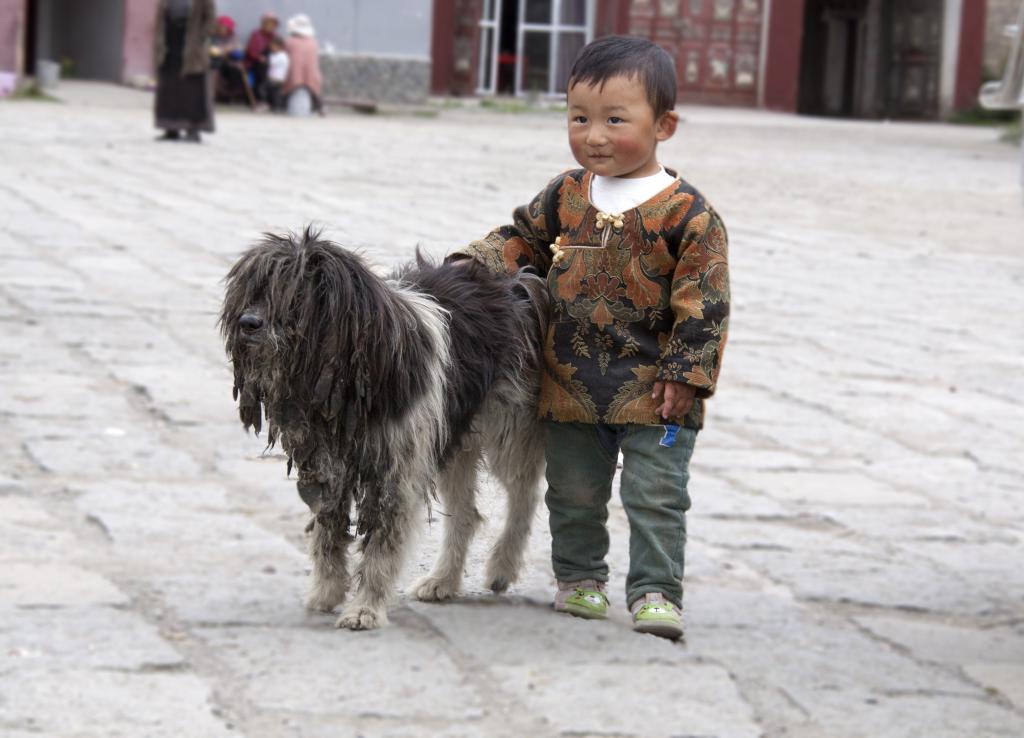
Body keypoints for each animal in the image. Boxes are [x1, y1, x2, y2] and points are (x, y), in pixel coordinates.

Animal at [220, 229, 548, 626]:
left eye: (293, 292)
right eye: (253, 289)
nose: (247, 323)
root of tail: (517, 283)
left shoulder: (397, 468)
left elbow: (381, 541)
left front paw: (365, 608)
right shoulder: (328, 463)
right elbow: (328, 532)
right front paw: (326, 591)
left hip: (505, 429)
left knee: (524, 495)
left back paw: (502, 564)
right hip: (453, 438)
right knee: (466, 514)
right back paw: (443, 580)